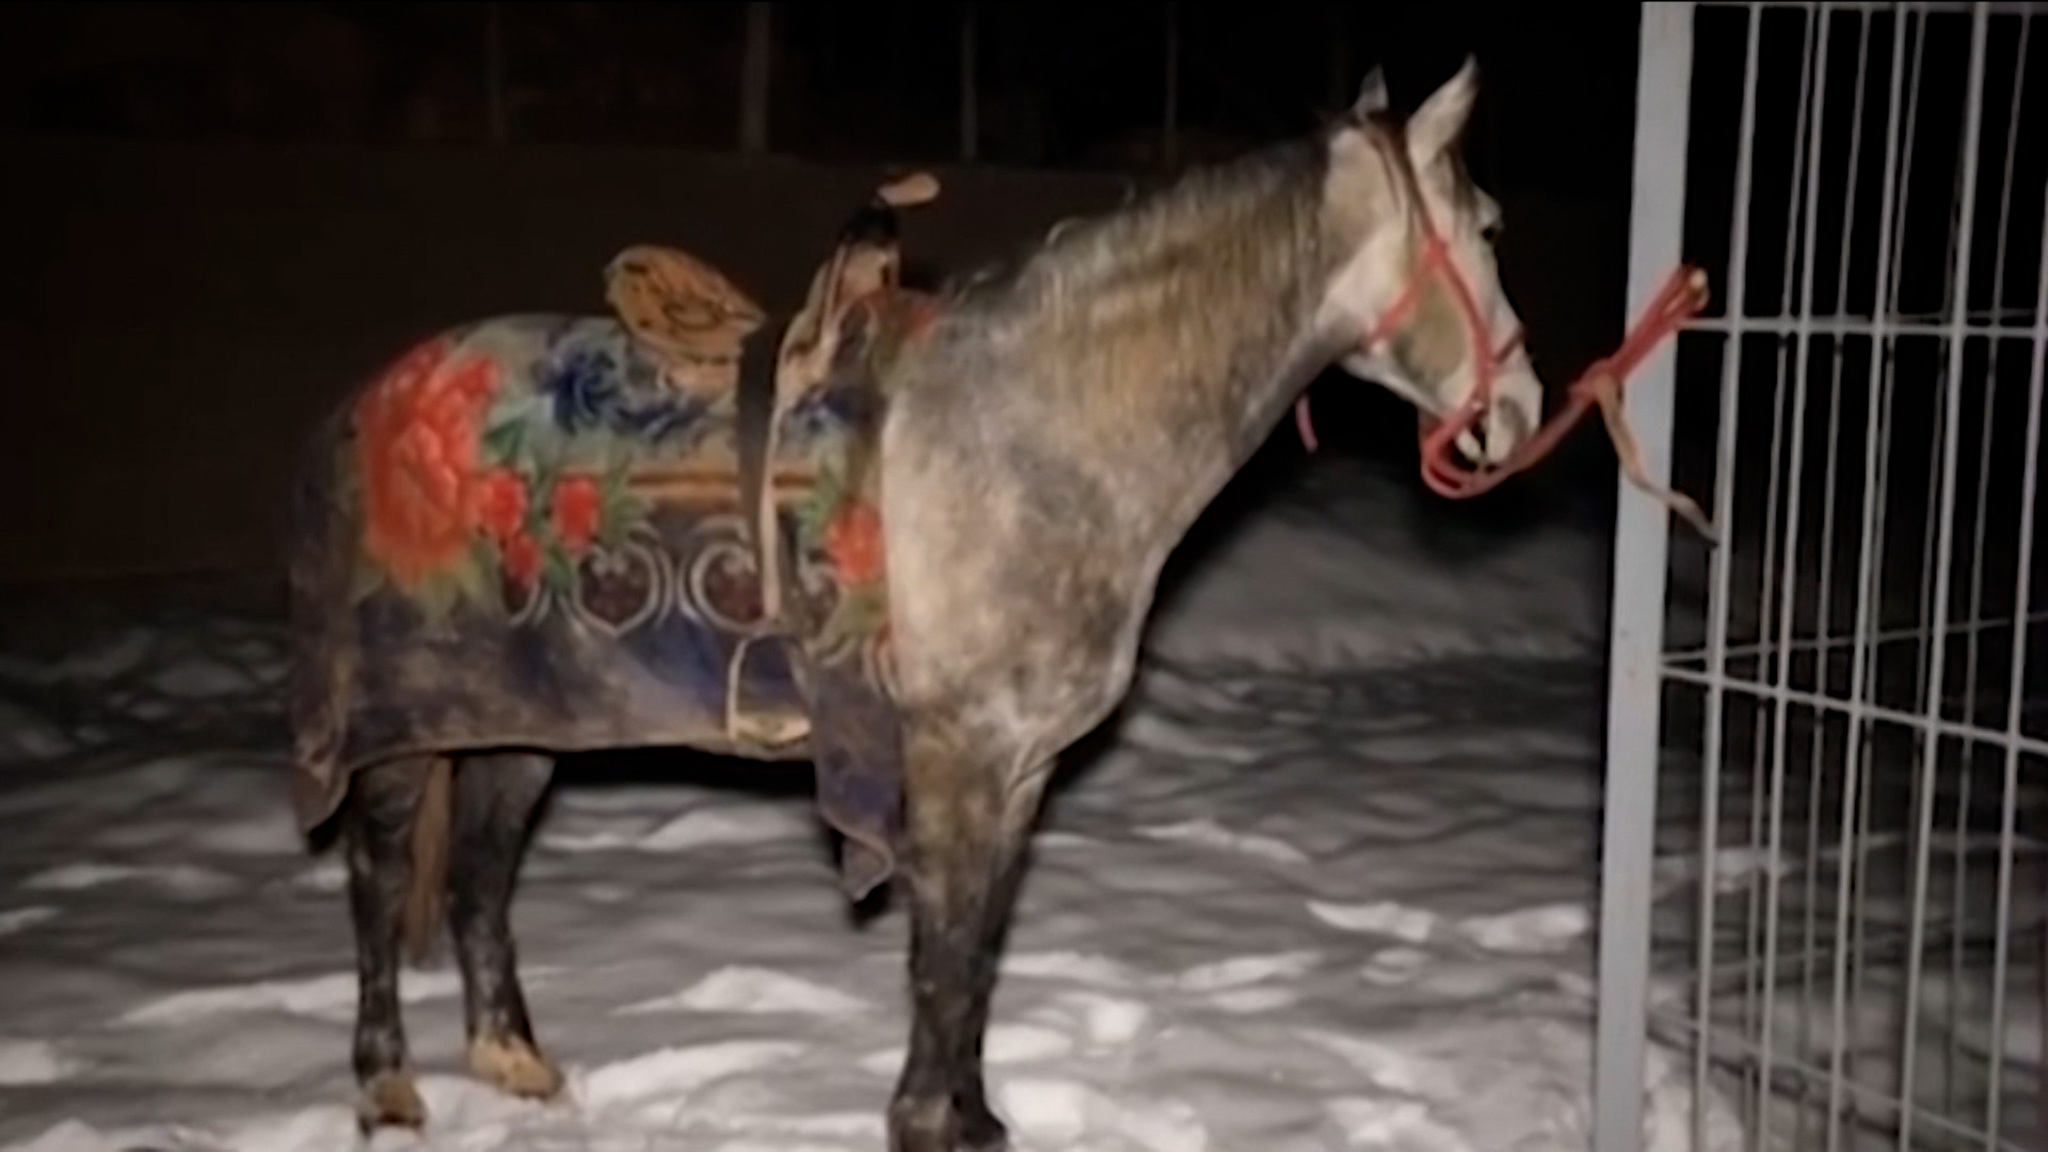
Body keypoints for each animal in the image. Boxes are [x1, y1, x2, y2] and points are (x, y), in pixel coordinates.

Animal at [288, 59, 1548, 1151]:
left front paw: (978, 1121)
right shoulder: (956, 756)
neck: (1029, 435)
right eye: (1488, 229)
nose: (1522, 412)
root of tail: (368, 401)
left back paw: (514, 1063)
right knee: (379, 876)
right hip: (402, 724)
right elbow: (939, 961)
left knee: (480, 872)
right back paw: (387, 1089)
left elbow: (978, 951)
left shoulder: (1021, 767)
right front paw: (924, 1126)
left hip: (521, 721)